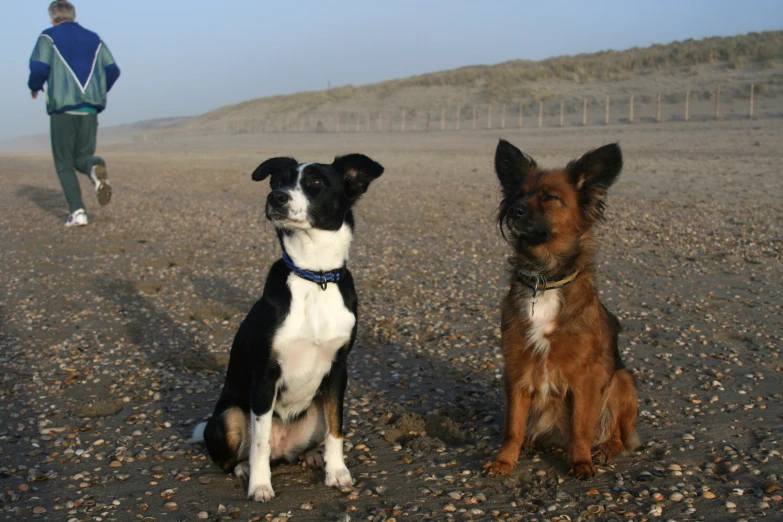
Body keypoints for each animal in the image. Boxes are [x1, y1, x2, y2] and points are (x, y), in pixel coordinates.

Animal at [191, 153, 384, 500]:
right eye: (278, 181)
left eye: (316, 182)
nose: (275, 197)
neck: (315, 276)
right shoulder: (266, 374)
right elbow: (259, 442)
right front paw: (259, 485)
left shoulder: (338, 370)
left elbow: (337, 429)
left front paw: (337, 472)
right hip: (229, 416)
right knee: (237, 456)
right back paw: (244, 470)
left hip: (315, 409)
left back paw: (314, 455)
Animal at [484, 139, 644, 480]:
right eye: (518, 194)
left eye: (550, 197)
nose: (514, 210)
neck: (544, 277)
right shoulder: (516, 370)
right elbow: (512, 427)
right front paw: (504, 461)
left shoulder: (586, 376)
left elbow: (581, 426)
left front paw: (581, 461)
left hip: (622, 380)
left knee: (617, 435)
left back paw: (604, 450)